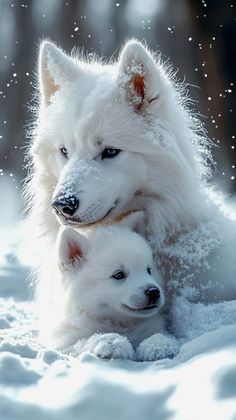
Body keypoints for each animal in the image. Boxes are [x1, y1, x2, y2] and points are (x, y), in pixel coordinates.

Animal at [45, 213, 179, 360]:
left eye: (149, 270)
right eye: (118, 275)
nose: (154, 291)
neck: (119, 323)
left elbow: (156, 333)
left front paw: (159, 344)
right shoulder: (63, 340)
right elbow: (85, 340)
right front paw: (112, 342)